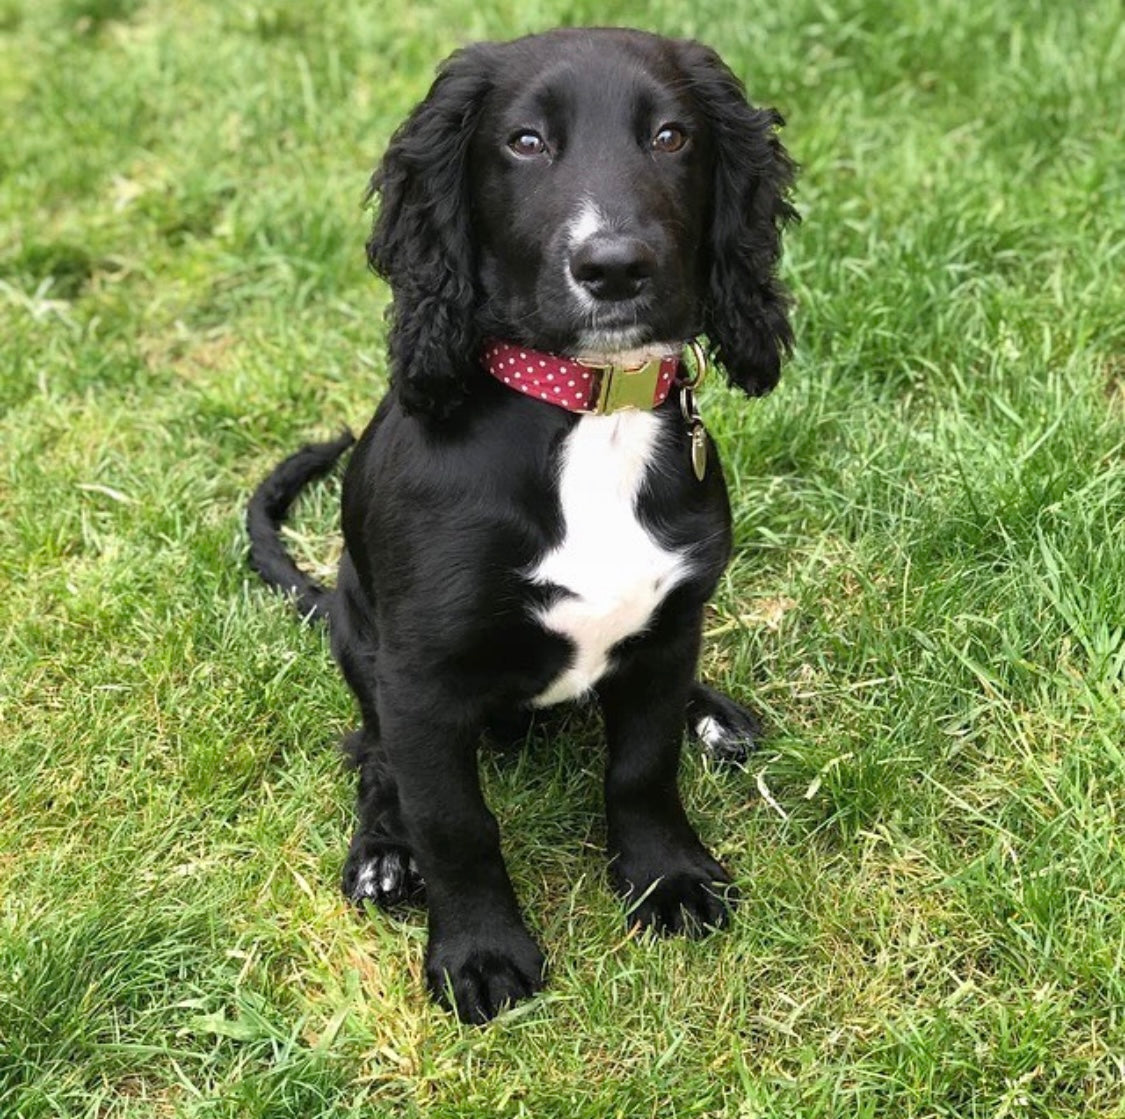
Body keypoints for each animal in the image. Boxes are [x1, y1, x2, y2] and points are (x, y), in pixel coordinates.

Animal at [250, 26, 796, 1025]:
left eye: (670, 137)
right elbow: (452, 821)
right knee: (371, 756)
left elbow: (642, 765)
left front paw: (666, 877)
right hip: (356, 631)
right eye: (525, 143)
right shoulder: (419, 679)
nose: (613, 267)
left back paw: (713, 713)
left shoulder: (670, 625)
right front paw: (480, 953)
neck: (588, 414)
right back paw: (382, 854)